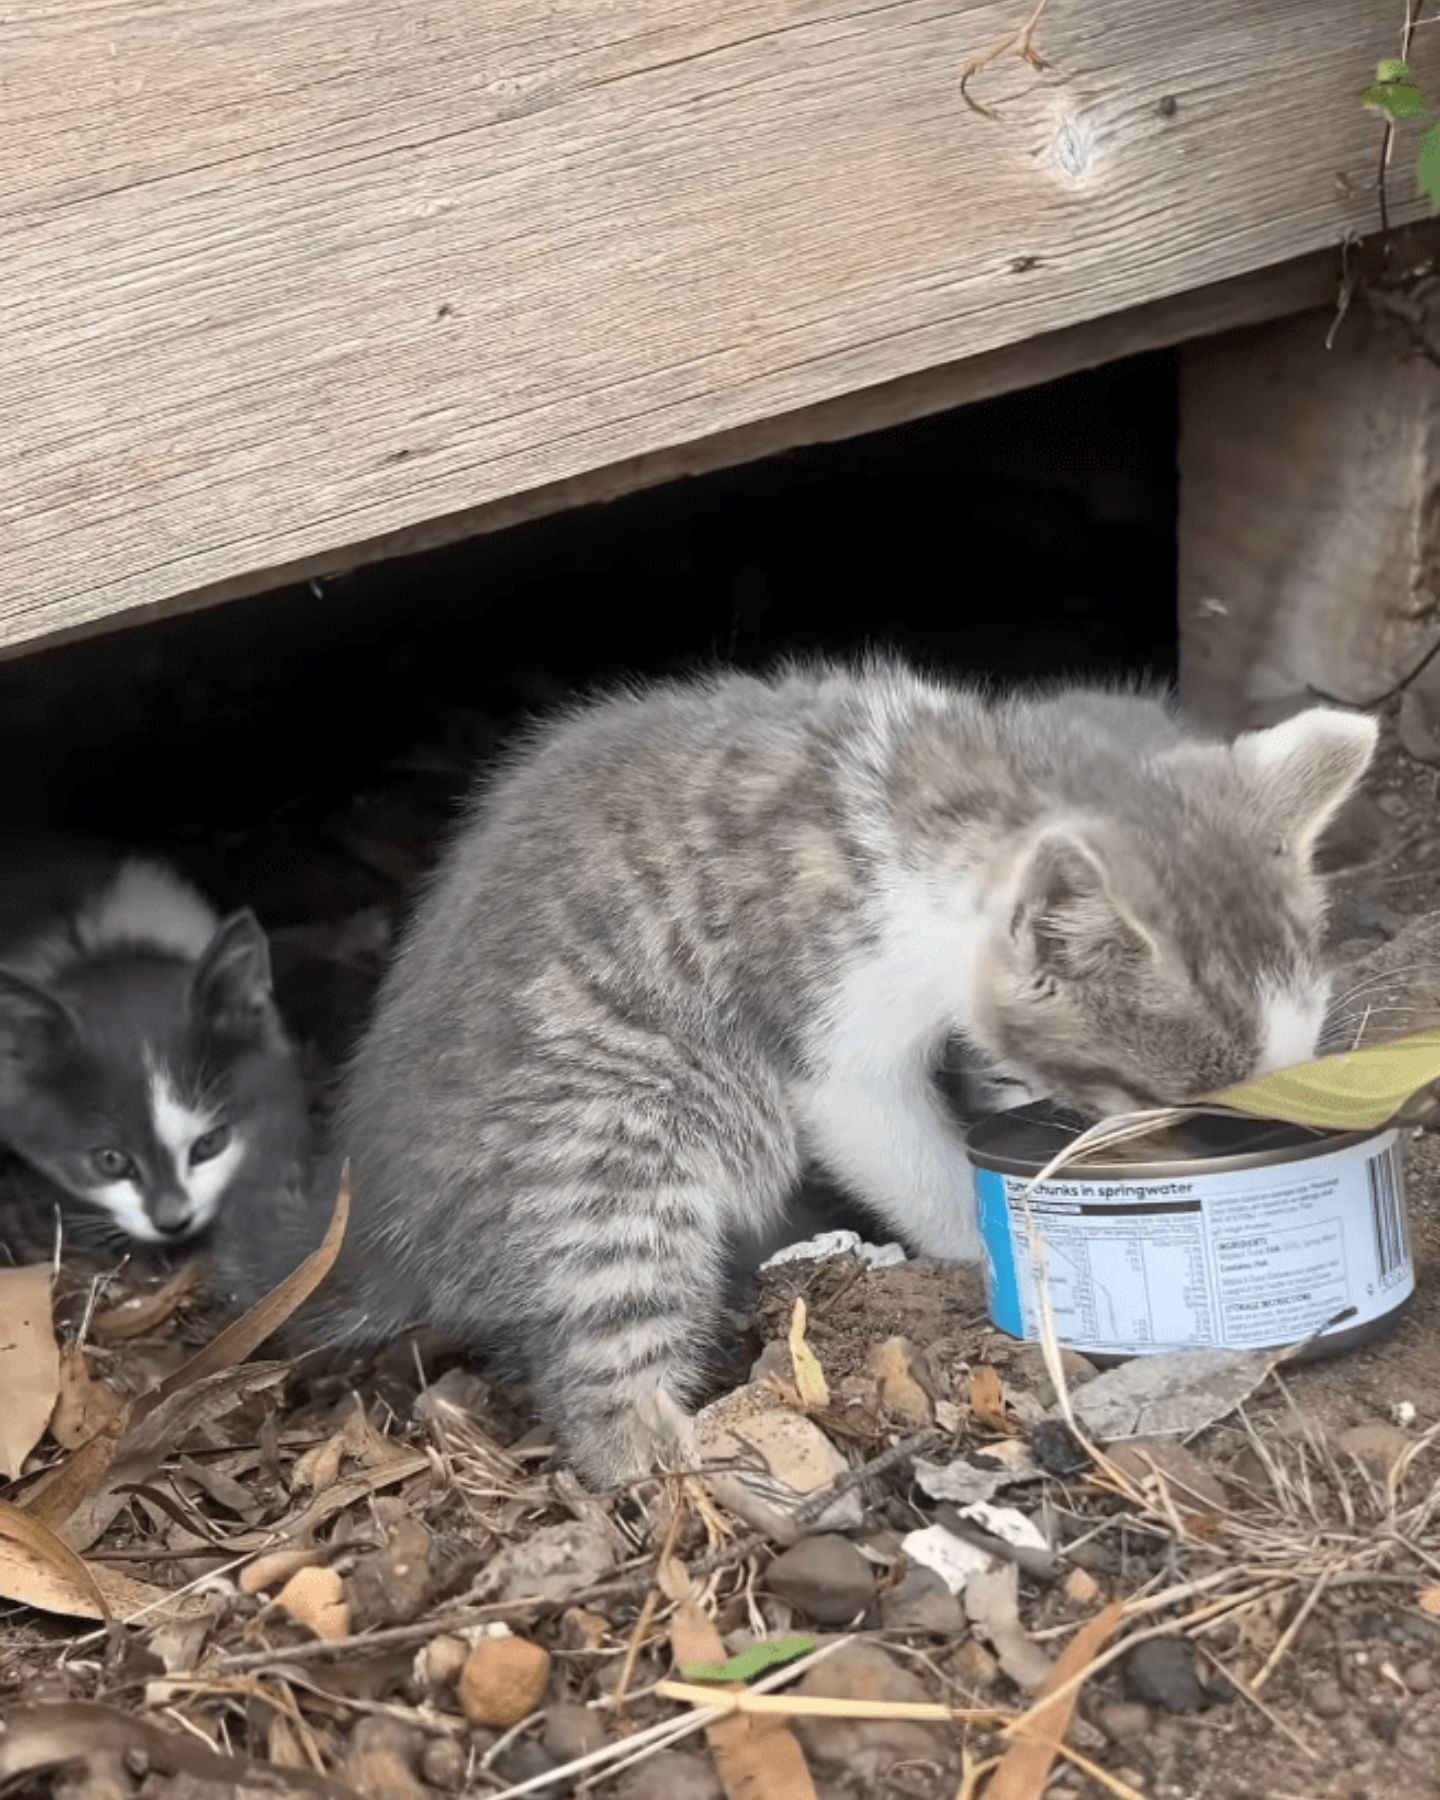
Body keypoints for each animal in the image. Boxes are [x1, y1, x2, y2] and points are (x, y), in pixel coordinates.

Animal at [214, 669, 1375, 1483]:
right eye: (1175, 1104)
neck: (956, 792)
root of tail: (367, 1225)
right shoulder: (830, 1014)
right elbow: (896, 1141)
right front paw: (979, 1247)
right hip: (615, 1136)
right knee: (605, 1342)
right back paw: (668, 1453)